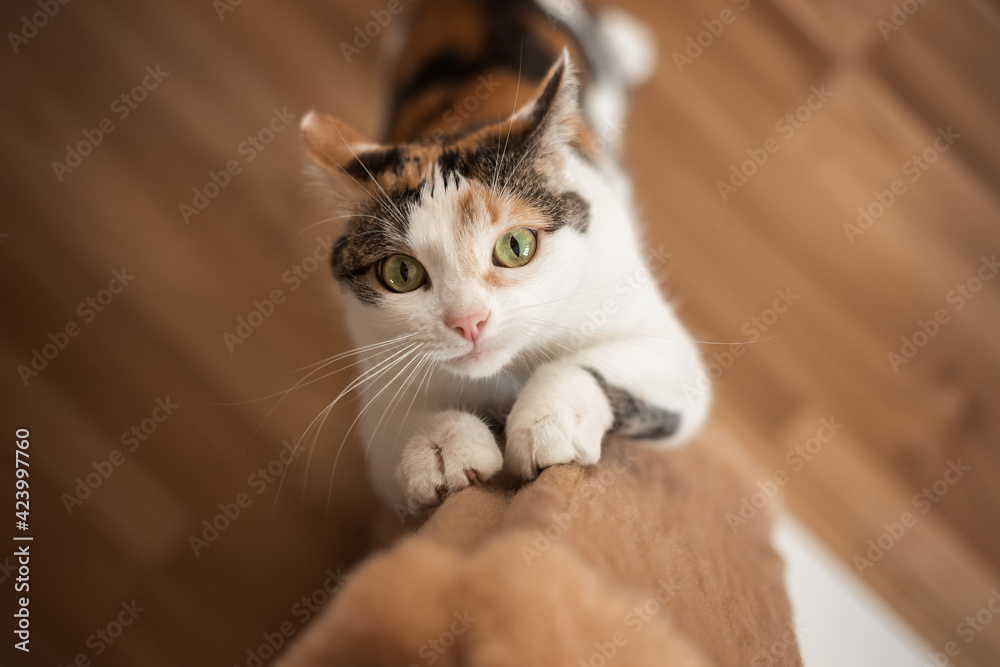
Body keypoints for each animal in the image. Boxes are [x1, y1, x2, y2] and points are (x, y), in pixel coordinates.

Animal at [300, 0, 716, 516]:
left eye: (515, 247)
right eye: (401, 272)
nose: (468, 321)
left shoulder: (660, 341)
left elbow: (600, 364)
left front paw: (547, 420)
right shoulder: (376, 362)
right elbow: (393, 428)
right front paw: (442, 448)